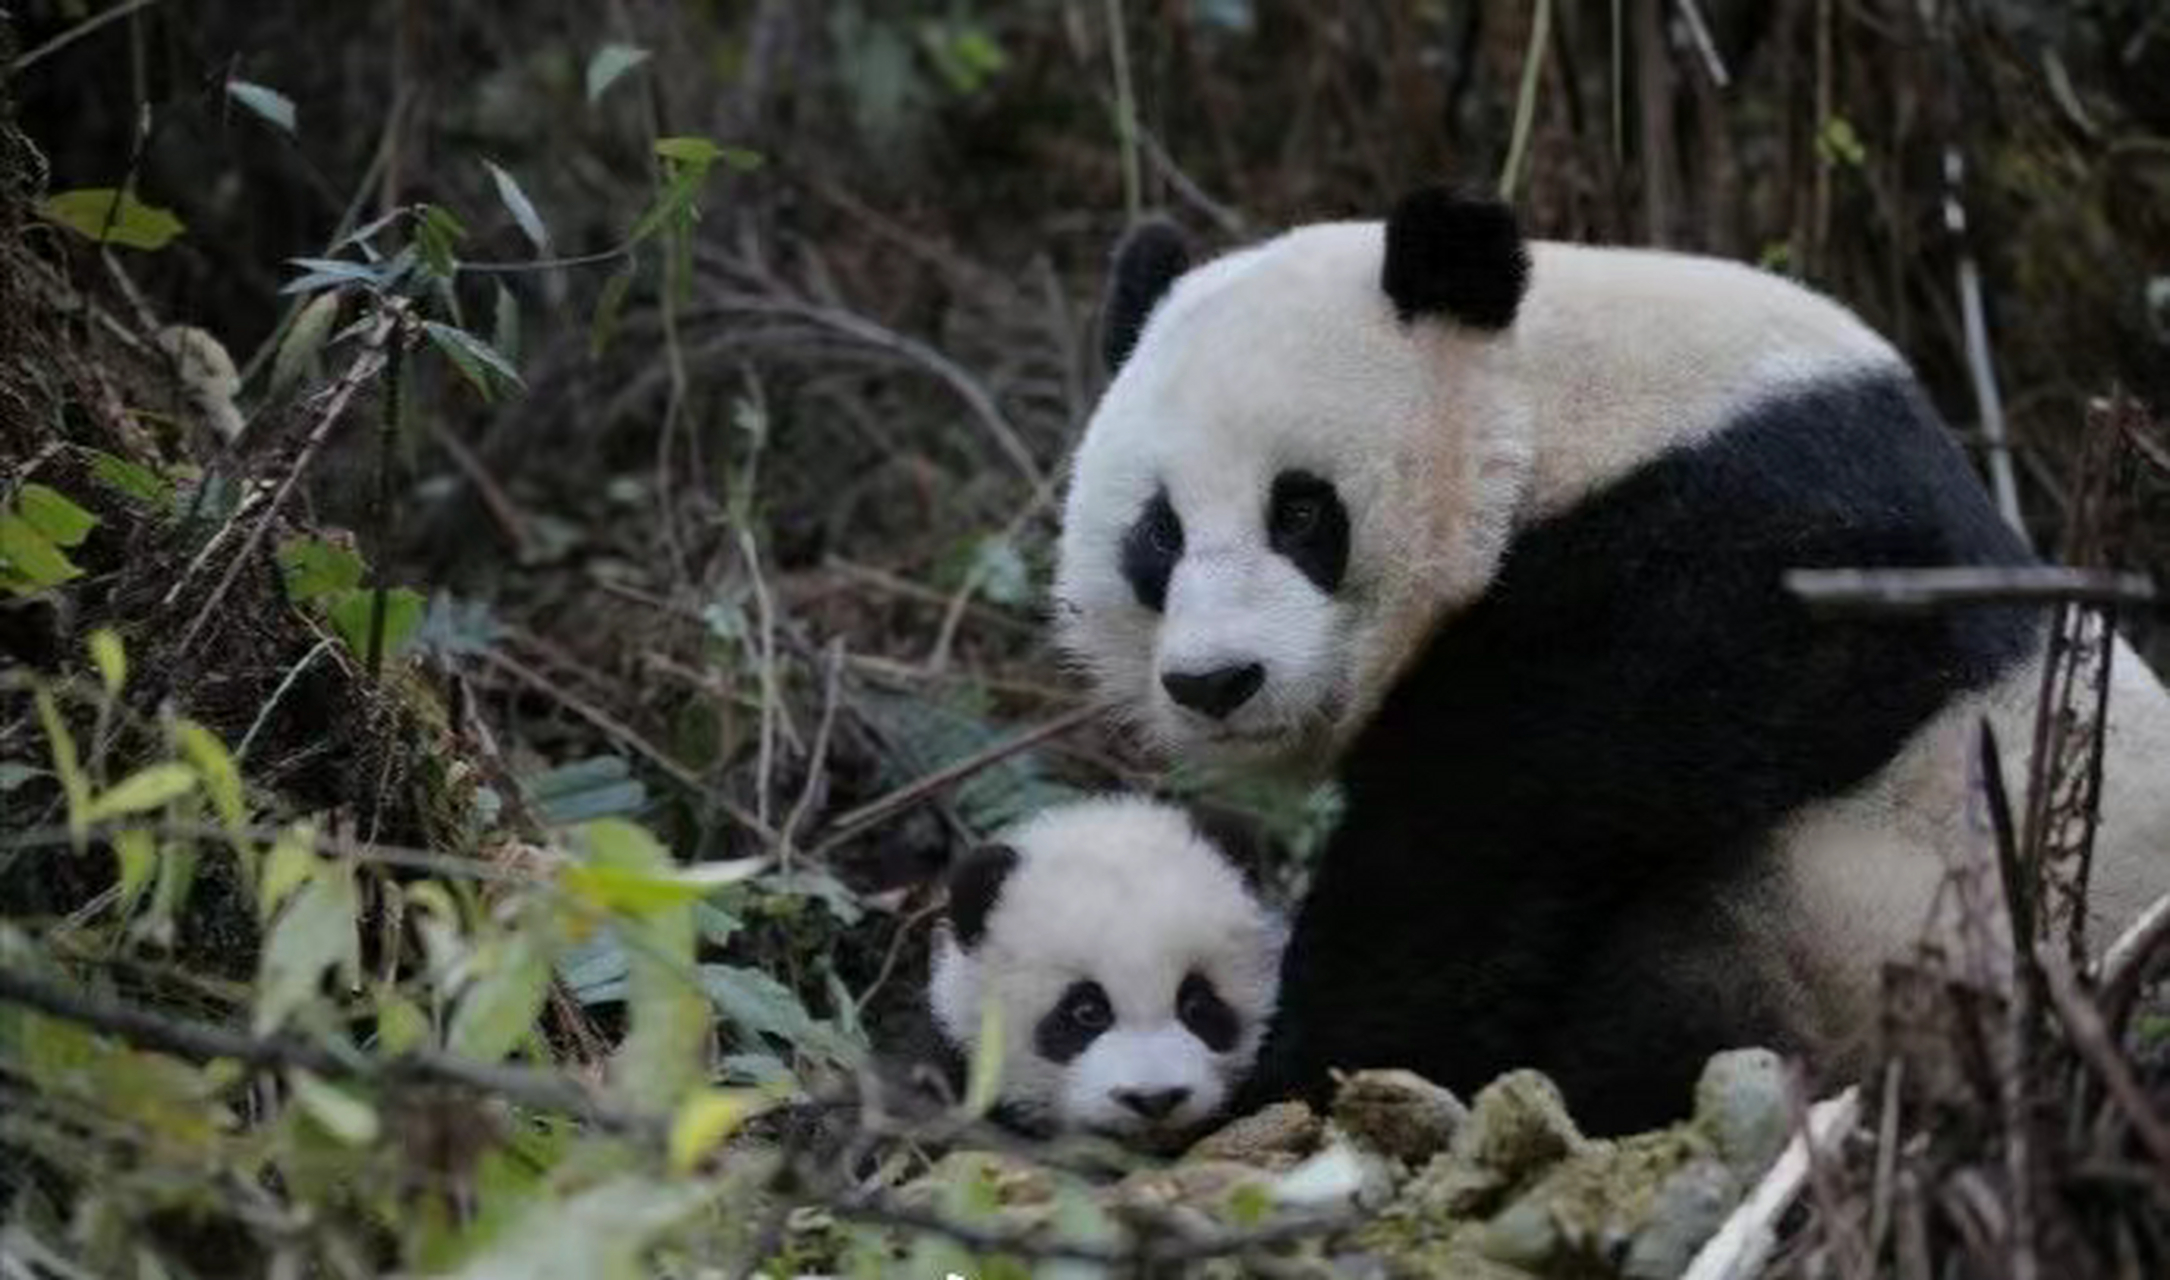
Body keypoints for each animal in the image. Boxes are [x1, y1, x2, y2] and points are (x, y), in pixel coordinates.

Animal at [1050, 187, 2170, 1136]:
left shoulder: (1743, 555)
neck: (1556, 406)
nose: (1215, 680)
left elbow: (1497, 825)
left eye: (1300, 511)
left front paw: (1287, 1064)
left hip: (1862, 938)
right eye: (1157, 534)